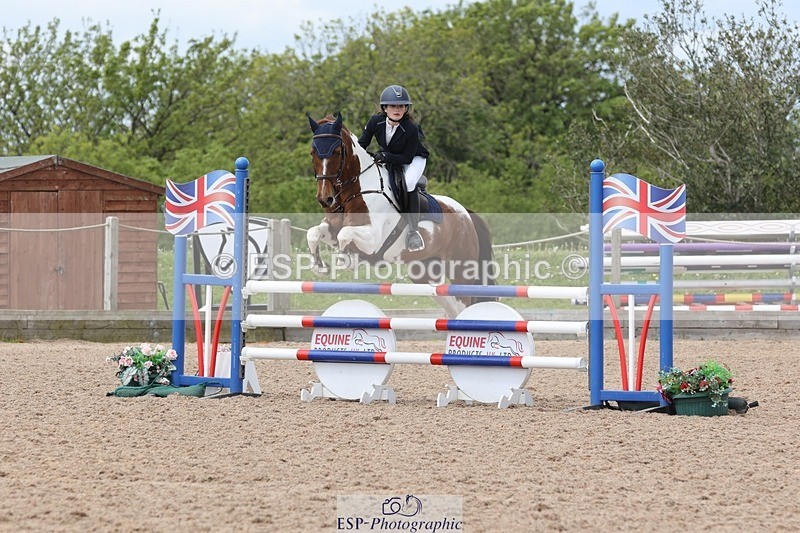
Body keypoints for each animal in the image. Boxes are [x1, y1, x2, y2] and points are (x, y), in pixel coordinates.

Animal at [306, 113, 495, 317]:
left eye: (337, 152)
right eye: (312, 153)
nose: (325, 199)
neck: (356, 191)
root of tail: (466, 215)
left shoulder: (372, 240)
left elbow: (345, 233)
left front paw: (346, 261)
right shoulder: (332, 229)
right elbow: (314, 233)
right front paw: (319, 266)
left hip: (460, 270)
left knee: (465, 301)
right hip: (425, 274)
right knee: (451, 304)